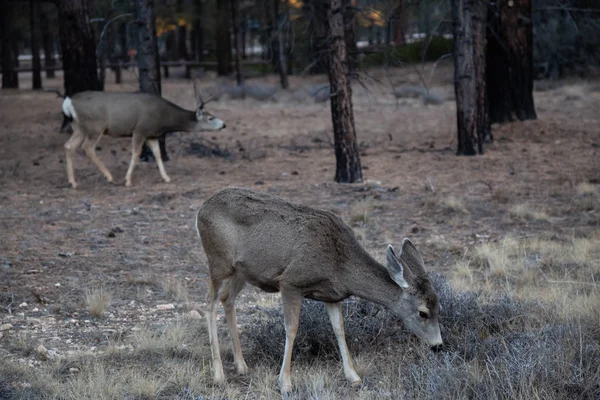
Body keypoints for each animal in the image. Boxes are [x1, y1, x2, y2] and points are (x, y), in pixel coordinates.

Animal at [61, 81, 225, 189]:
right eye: (210, 118)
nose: (224, 124)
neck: (164, 118)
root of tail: (68, 102)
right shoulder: (140, 129)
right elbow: (136, 153)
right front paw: (128, 180)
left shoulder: (151, 134)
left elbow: (158, 154)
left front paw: (166, 178)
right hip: (95, 126)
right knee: (87, 147)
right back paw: (109, 177)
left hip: (79, 127)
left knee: (69, 146)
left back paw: (73, 182)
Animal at [195, 187, 442, 394]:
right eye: (422, 312)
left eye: (439, 306)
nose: (438, 346)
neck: (339, 265)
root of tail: (201, 210)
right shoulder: (290, 282)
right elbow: (292, 328)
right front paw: (285, 383)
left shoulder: (332, 295)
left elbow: (339, 329)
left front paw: (353, 377)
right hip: (219, 261)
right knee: (208, 302)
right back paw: (219, 375)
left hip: (241, 271)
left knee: (227, 299)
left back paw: (241, 365)